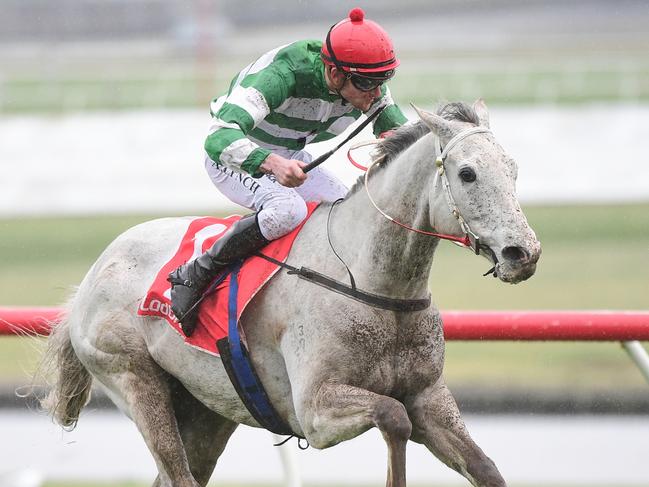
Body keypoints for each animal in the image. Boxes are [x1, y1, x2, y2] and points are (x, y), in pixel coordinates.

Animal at [38, 100, 540, 487]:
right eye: (468, 173)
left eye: (514, 169)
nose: (524, 253)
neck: (373, 282)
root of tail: (91, 277)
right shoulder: (315, 410)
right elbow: (393, 416)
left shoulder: (429, 396)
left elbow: (484, 467)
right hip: (133, 380)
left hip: (207, 408)